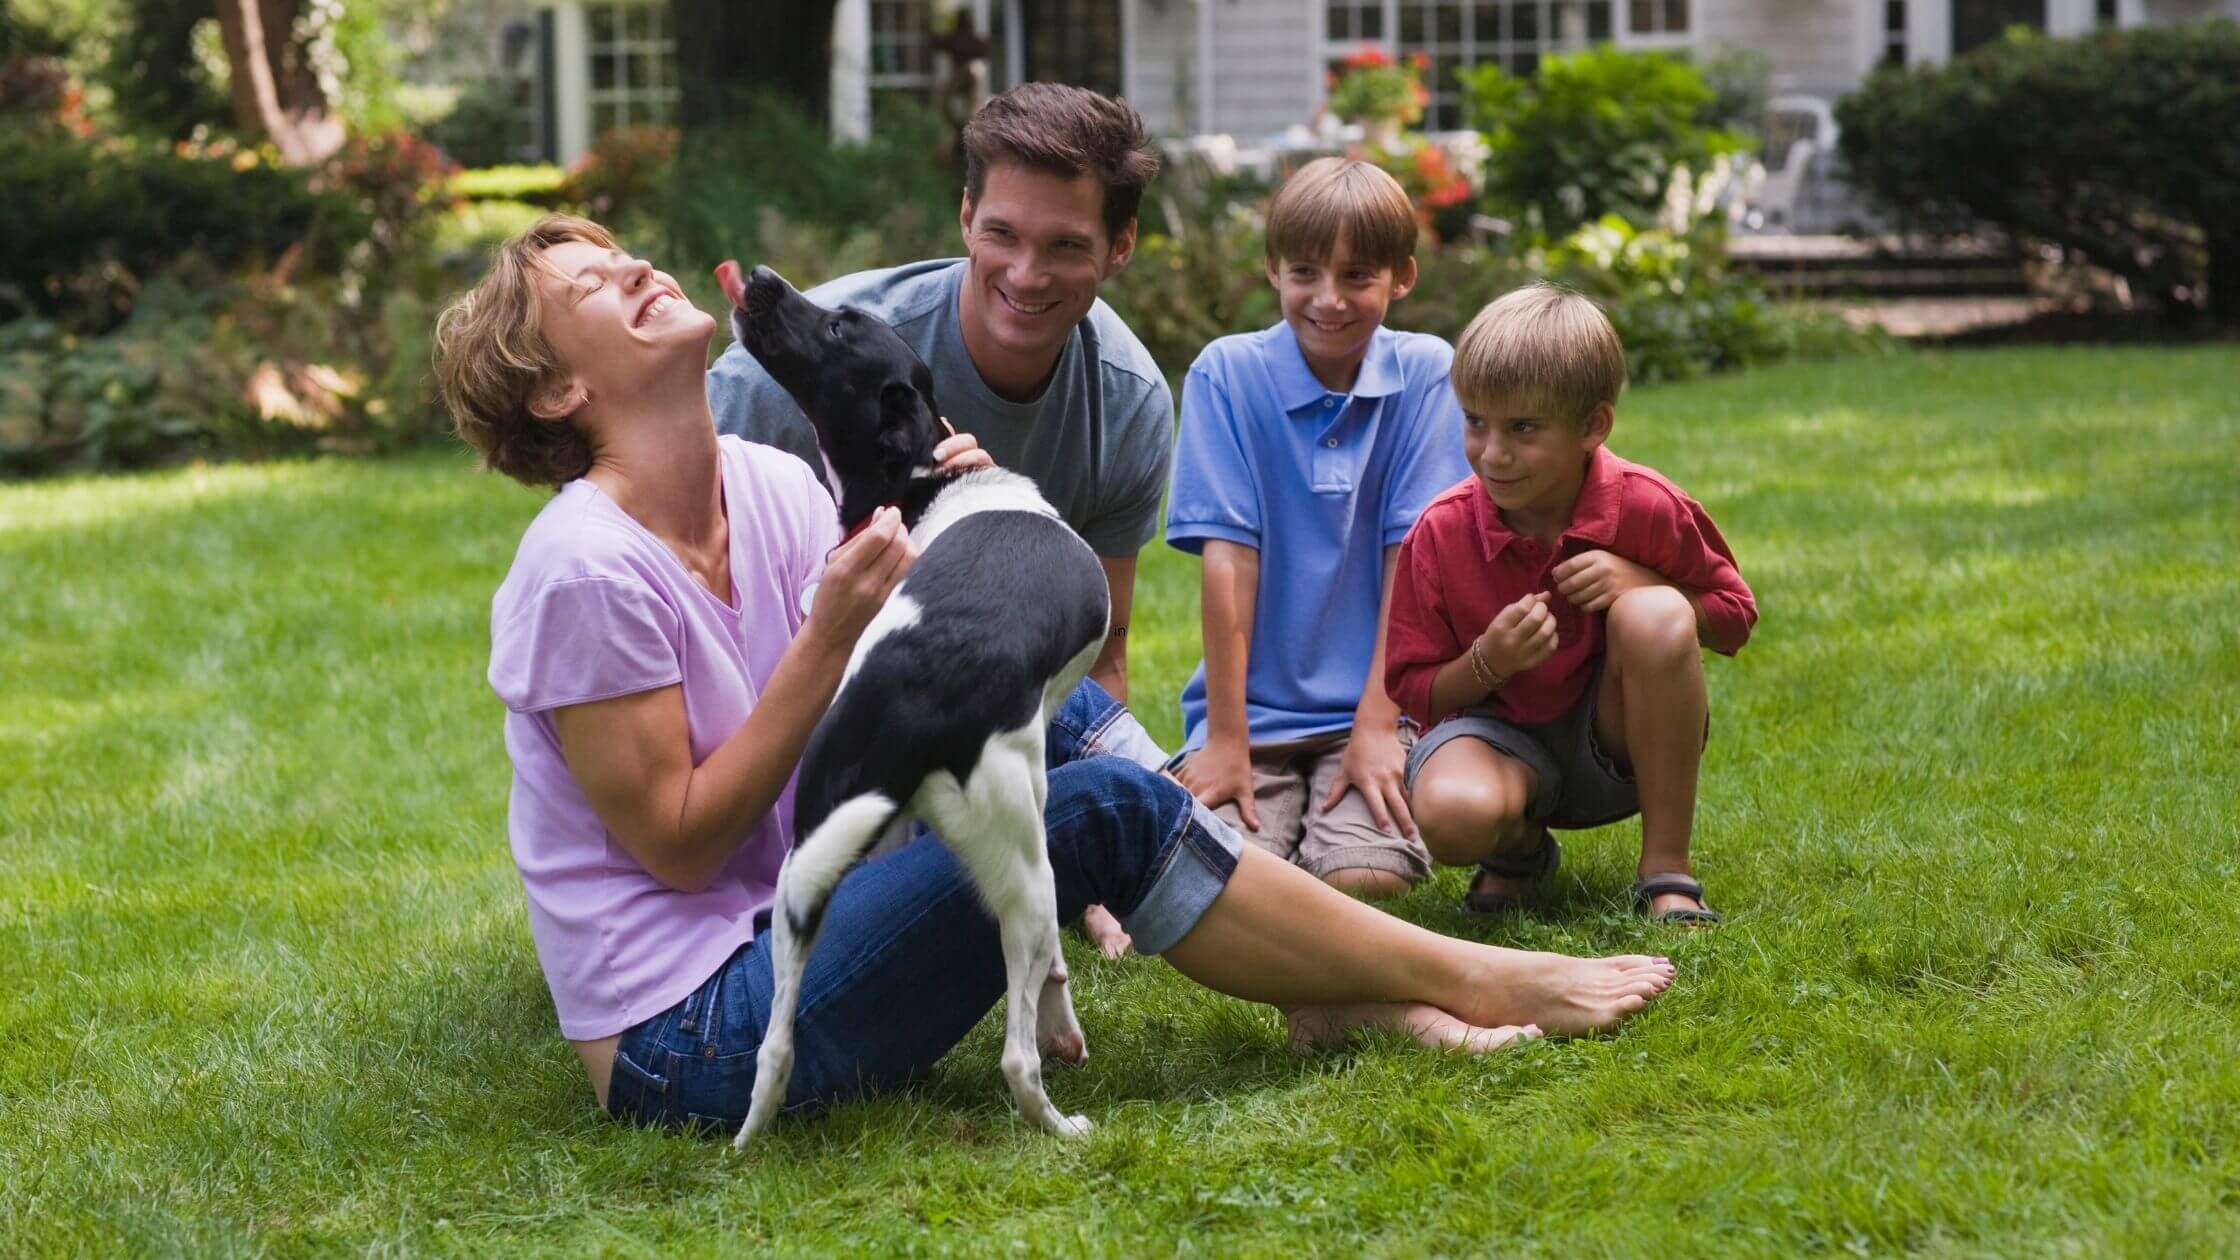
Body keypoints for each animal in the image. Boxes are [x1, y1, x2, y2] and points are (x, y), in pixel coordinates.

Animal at [712, 260, 1106, 1143]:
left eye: (837, 326)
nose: (760, 276)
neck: (930, 484)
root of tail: (905, 699)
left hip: (809, 874)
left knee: (775, 1048)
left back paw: (749, 1140)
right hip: (1027, 874)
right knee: (1017, 1055)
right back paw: (1060, 1124)